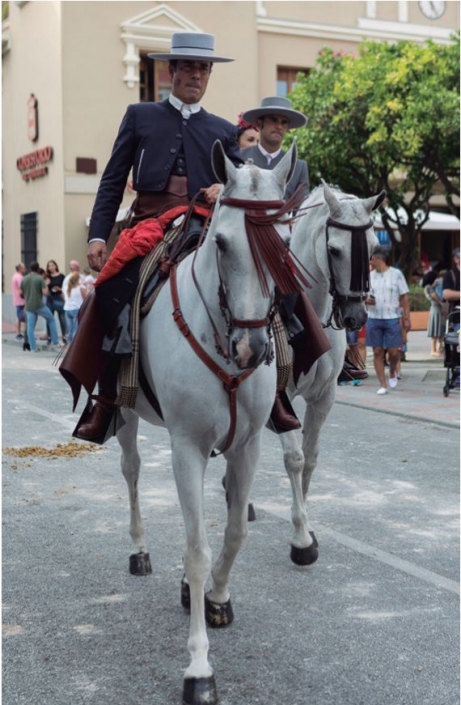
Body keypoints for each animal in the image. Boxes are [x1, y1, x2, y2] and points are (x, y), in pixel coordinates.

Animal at [117, 143, 300, 704]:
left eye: (285, 243)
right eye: (221, 243)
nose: (251, 349)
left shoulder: (246, 446)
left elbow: (235, 531)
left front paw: (217, 594)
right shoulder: (186, 447)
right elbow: (197, 548)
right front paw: (199, 667)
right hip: (126, 416)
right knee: (132, 472)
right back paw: (139, 550)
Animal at [276, 183, 384, 568]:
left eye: (374, 247)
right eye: (335, 249)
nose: (356, 317)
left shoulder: (323, 398)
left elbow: (310, 457)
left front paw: (306, 528)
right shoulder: (280, 399)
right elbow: (294, 459)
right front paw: (301, 541)